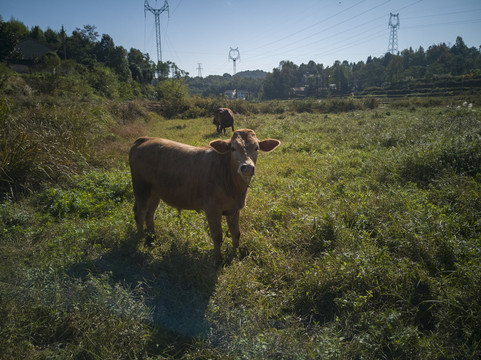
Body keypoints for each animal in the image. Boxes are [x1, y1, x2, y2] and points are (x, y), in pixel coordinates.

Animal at [127, 129, 280, 262]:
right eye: (233, 148)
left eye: (256, 147)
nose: (247, 167)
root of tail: (145, 139)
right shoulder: (212, 209)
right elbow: (217, 236)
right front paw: (218, 260)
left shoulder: (234, 209)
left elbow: (236, 233)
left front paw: (236, 255)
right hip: (140, 188)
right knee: (139, 212)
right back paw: (140, 239)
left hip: (155, 192)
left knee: (150, 214)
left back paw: (152, 237)